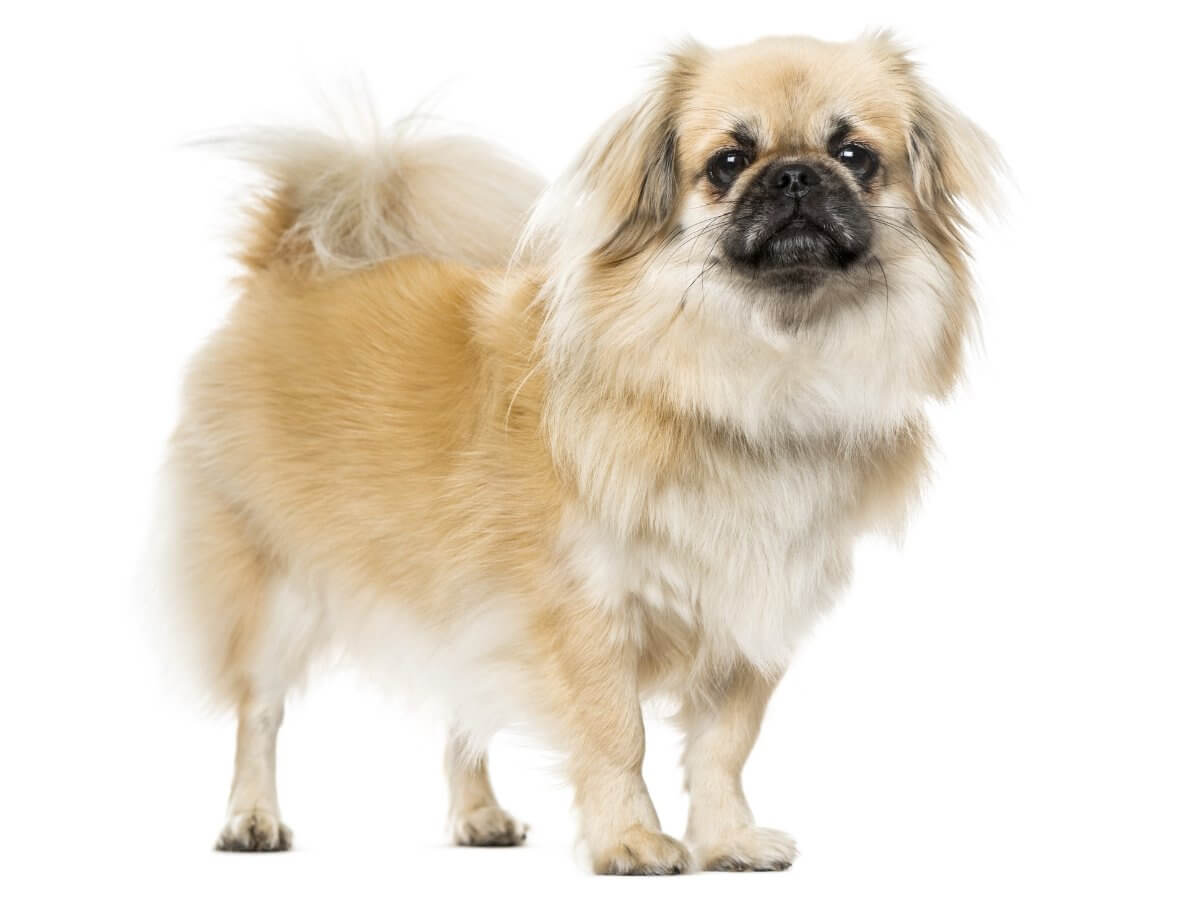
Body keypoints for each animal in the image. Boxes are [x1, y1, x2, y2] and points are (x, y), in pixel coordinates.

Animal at [162, 33, 1003, 873]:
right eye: (728, 162)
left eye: (855, 154)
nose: (795, 174)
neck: (748, 374)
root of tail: (291, 266)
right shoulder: (587, 611)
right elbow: (616, 736)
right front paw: (632, 840)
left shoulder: (750, 612)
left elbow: (724, 747)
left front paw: (728, 839)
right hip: (276, 592)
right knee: (259, 714)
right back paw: (252, 820)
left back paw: (480, 816)